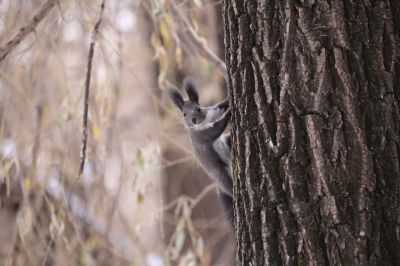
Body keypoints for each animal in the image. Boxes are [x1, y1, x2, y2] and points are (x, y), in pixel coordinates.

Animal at [169, 78, 234, 228]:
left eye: (198, 108)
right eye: (183, 114)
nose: (193, 120)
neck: (202, 123)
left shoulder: (211, 112)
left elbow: (219, 107)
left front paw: (228, 100)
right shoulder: (200, 135)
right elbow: (216, 129)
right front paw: (228, 113)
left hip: (227, 141)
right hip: (220, 173)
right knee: (230, 188)